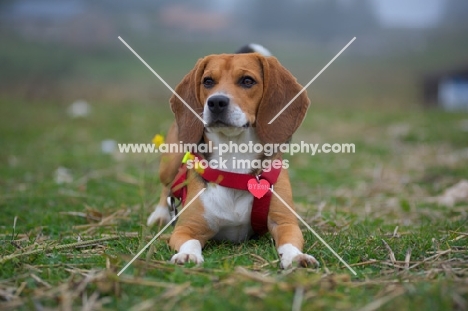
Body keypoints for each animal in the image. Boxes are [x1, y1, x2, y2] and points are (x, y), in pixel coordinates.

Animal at [148, 42, 320, 270]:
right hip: (171, 161)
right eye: (208, 81)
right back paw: (159, 215)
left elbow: (290, 243)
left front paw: (296, 257)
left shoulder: (285, 223)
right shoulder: (186, 228)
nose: (216, 102)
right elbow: (190, 241)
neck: (234, 155)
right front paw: (188, 255)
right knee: (167, 187)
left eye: (247, 81)